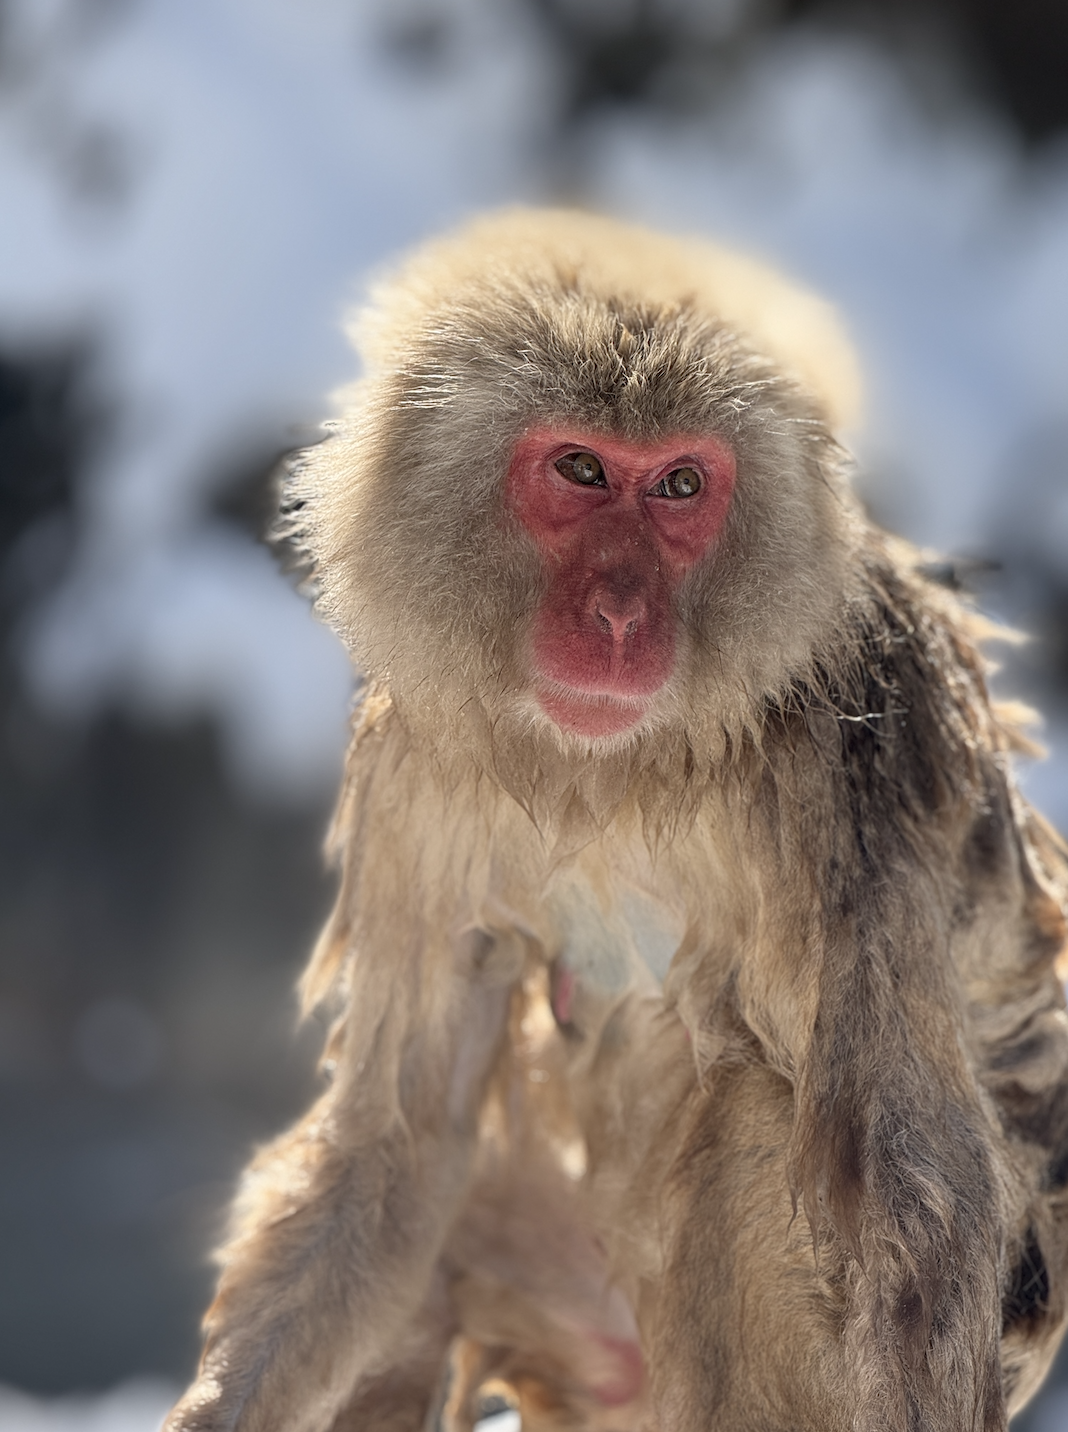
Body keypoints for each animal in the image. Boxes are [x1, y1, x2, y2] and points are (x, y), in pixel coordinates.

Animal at [164, 209, 1068, 1432]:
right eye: (583, 470)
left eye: (681, 485)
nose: (620, 616)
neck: (623, 769)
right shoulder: (417, 778)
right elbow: (402, 1143)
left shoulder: (844, 777)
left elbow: (910, 1210)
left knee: (757, 1122)